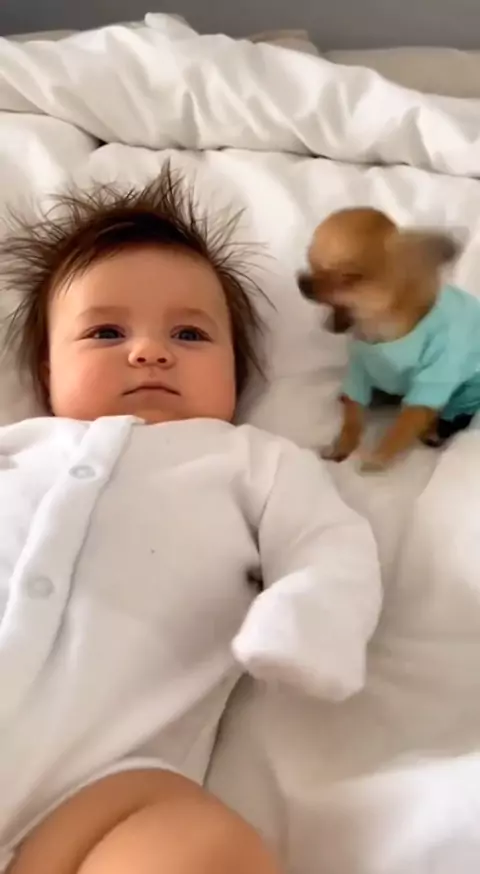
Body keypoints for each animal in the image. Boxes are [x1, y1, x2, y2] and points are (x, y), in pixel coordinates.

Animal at [298, 207, 471, 471]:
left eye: (349, 277)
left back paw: (431, 430)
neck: (379, 332)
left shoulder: (429, 385)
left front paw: (378, 458)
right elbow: (353, 417)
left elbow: (403, 426)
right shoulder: (359, 375)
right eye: (311, 264)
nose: (302, 281)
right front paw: (342, 446)